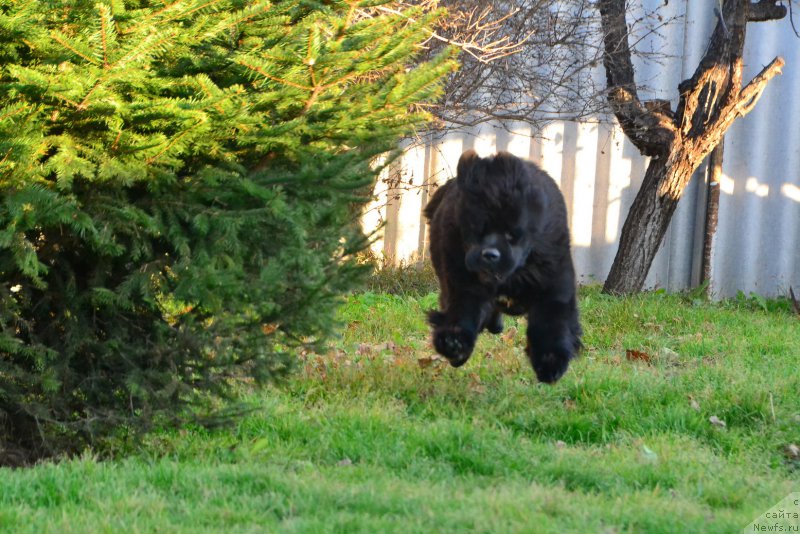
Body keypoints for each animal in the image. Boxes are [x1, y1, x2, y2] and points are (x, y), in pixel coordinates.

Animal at [424, 151, 580, 386]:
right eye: (477, 230)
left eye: (511, 234)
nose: (490, 255)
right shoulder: (462, 281)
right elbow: (463, 310)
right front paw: (455, 345)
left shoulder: (552, 280)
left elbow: (552, 321)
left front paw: (550, 362)